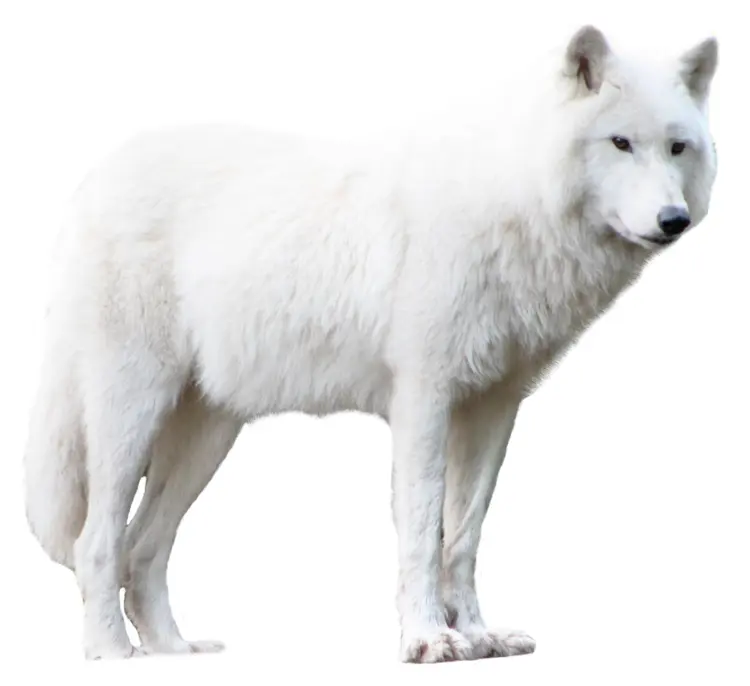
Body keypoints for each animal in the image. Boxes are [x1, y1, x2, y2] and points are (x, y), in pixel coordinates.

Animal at [23, 25, 719, 663]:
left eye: (677, 147)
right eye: (620, 143)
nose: (674, 221)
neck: (514, 201)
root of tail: (92, 180)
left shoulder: (493, 407)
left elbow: (463, 535)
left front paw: (477, 636)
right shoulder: (423, 399)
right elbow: (422, 528)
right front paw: (427, 640)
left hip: (207, 437)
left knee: (144, 549)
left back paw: (174, 650)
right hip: (132, 416)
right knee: (97, 542)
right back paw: (111, 653)